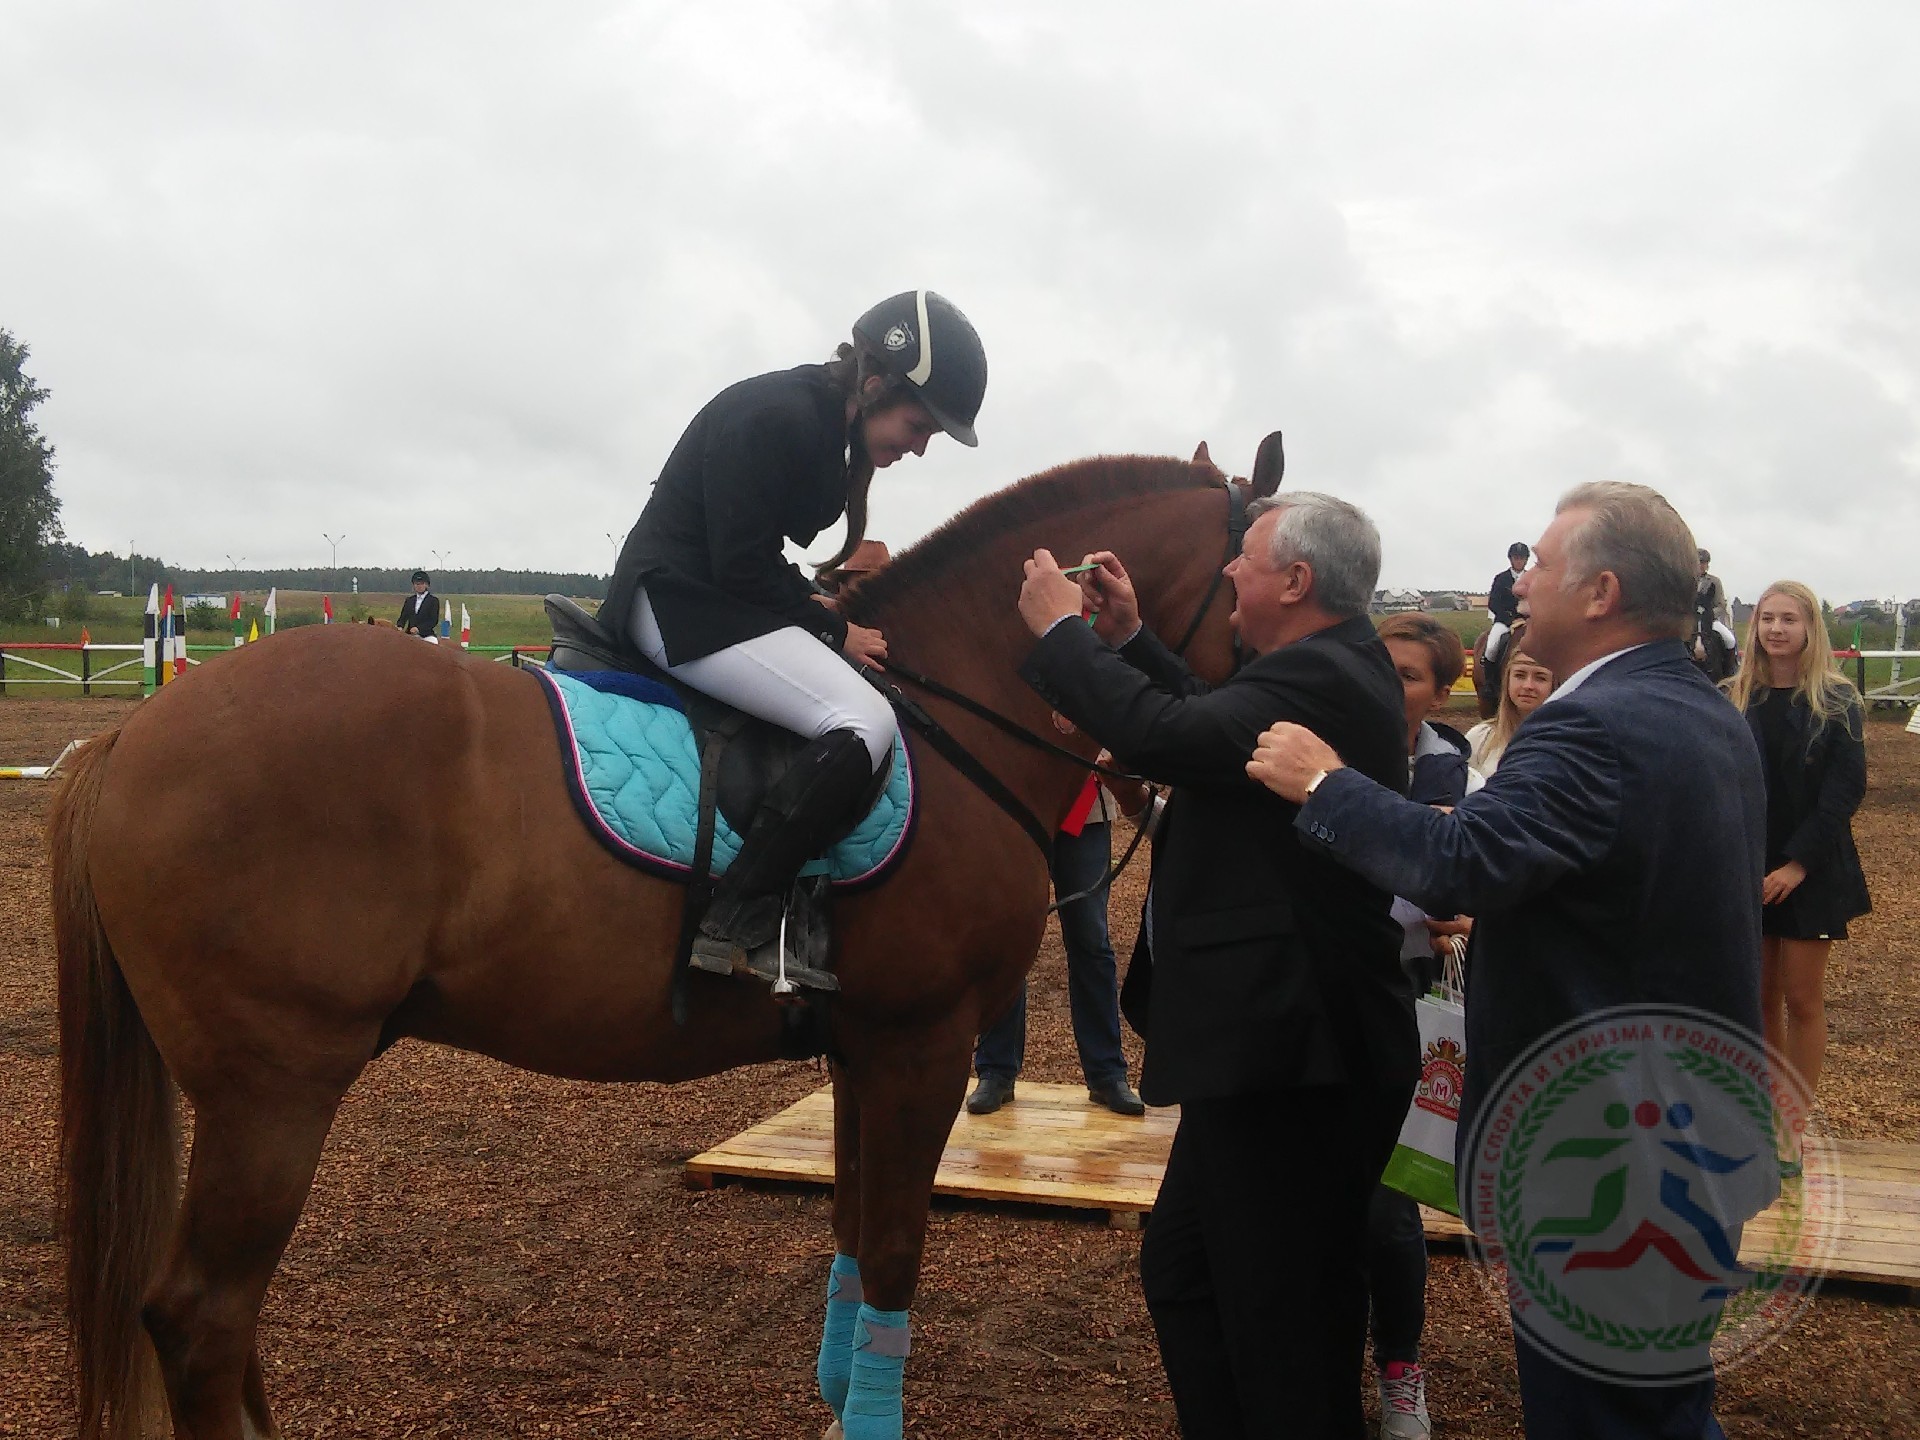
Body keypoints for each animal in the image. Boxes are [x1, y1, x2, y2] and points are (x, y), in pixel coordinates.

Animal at [47, 443, 1279, 1440]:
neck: (953, 718)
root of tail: (133, 735)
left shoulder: (861, 1054)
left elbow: (849, 1236)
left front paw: (840, 1405)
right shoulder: (919, 1047)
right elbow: (892, 1253)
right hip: (274, 1090)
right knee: (202, 1320)